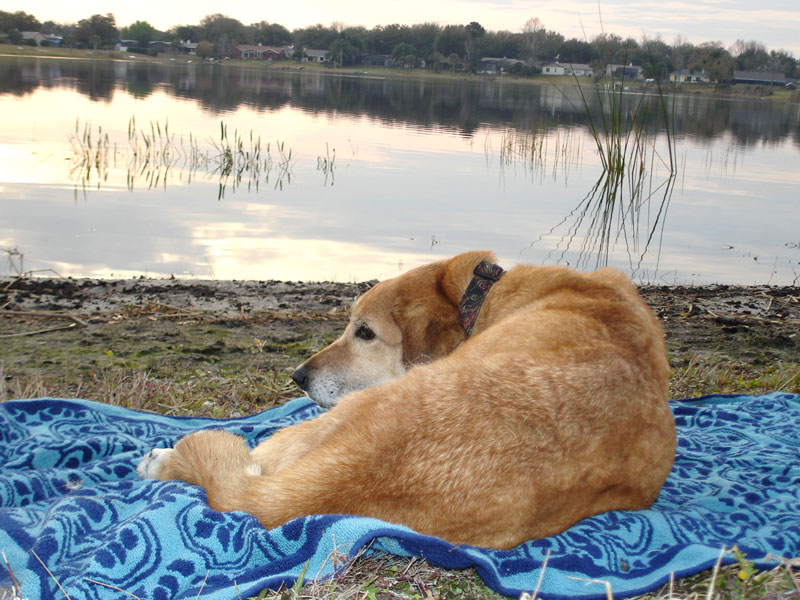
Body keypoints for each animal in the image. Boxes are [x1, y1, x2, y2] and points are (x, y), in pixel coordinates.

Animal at [138, 251, 676, 552]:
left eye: (365, 332)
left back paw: (164, 459)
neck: (486, 295)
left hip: (320, 426)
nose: (297, 378)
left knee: (247, 463)